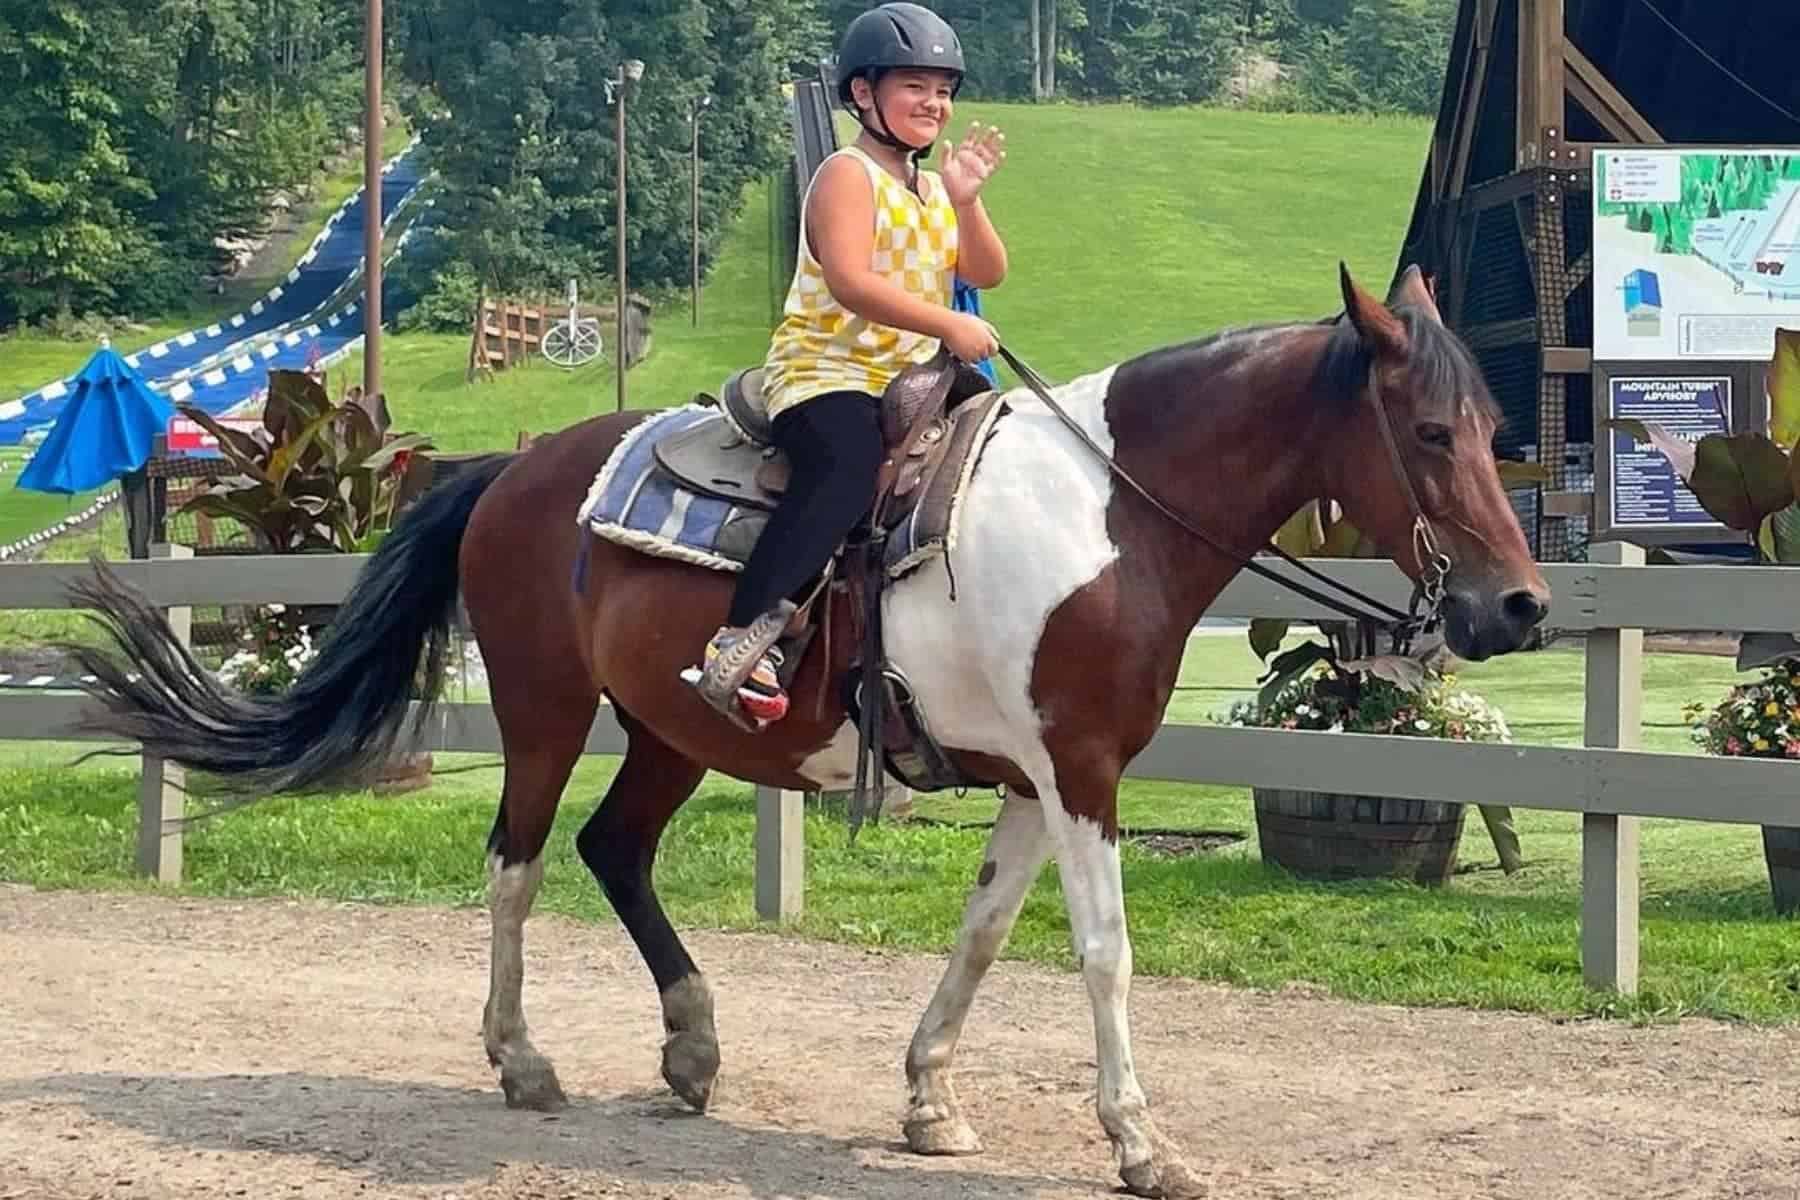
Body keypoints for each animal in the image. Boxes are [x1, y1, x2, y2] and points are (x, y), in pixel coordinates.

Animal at [63, 264, 1548, 1199]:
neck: (1111, 516)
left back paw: (693, 1049)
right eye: (1429, 430)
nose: (1519, 607)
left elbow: (984, 937)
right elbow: (1105, 955)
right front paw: (1141, 1144)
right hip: (546, 712)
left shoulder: (1032, 780)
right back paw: (524, 1059)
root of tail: (514, 470)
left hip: (670, 728)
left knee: (612, 853)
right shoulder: (1079, 777)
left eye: (1494, 424)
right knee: (517, 865)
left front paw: (929, 1101)